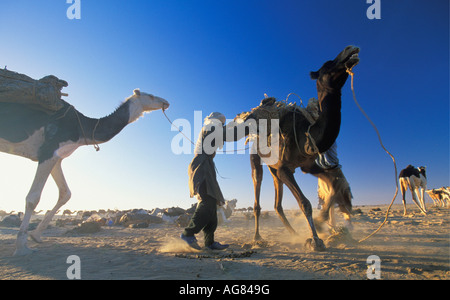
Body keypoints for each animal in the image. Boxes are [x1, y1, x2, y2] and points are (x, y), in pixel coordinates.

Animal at [0, 88, 169, 254]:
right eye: (151, 95)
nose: (166, 102)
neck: (82, 128)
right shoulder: (49, 149)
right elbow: (33, 198)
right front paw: (21, 246)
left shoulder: (57, 156)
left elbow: (65, 193)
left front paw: (35, 235)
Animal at [239, 45, 358, 251]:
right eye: (328, 65)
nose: (349, 49)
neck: (306, 132)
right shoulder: (285, 168)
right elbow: (305, 203)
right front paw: (316, 240)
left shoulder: (309, 165)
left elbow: (334, 185)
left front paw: (321, 223)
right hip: (257, 158)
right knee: (257, 192)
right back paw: (257, 237)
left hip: (274, 168)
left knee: (277, 204)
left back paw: (293, 233)